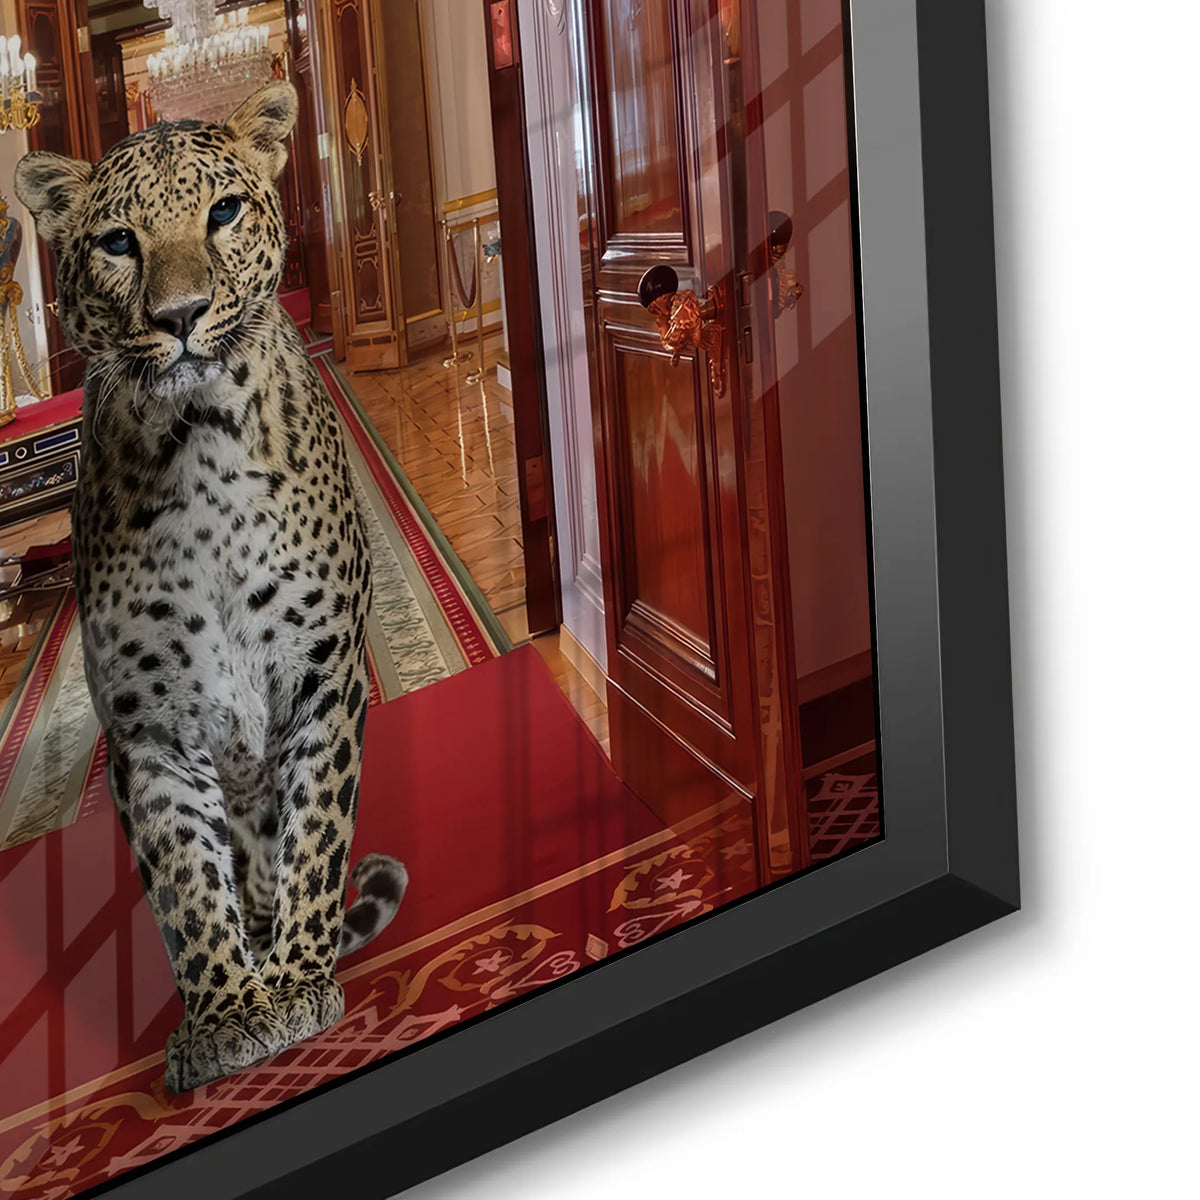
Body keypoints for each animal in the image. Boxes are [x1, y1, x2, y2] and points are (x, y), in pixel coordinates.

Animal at [14, 81, 408, 1093]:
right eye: (118, 241)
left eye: (223, 213)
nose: (182, 315)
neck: (199, 450)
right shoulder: (149, 728)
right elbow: (185, 882)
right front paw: (228, 1014)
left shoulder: (322, 681)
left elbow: (315, 837)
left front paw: (297, 979)